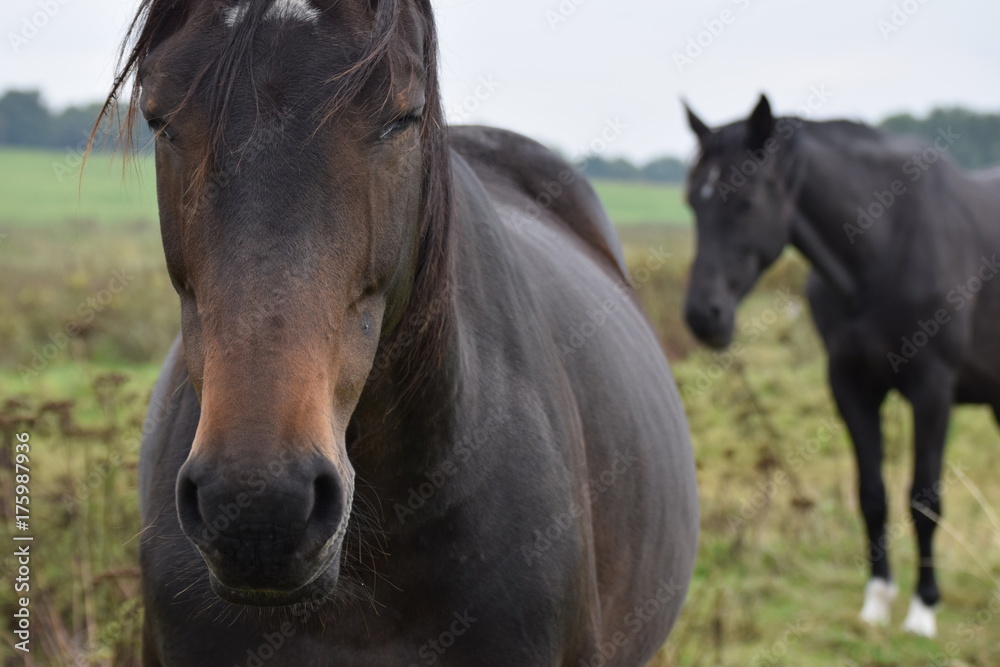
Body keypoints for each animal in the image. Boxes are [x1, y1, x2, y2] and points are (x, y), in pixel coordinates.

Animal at [684, 96, 1000, 640]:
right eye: (693, 203)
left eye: (745, 200)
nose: (704, 315)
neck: (888, 246)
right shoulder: (850, 385)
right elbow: (871, 495)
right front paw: (876, 603)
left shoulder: (932, 391)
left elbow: (923, 498)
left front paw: (922, 611)